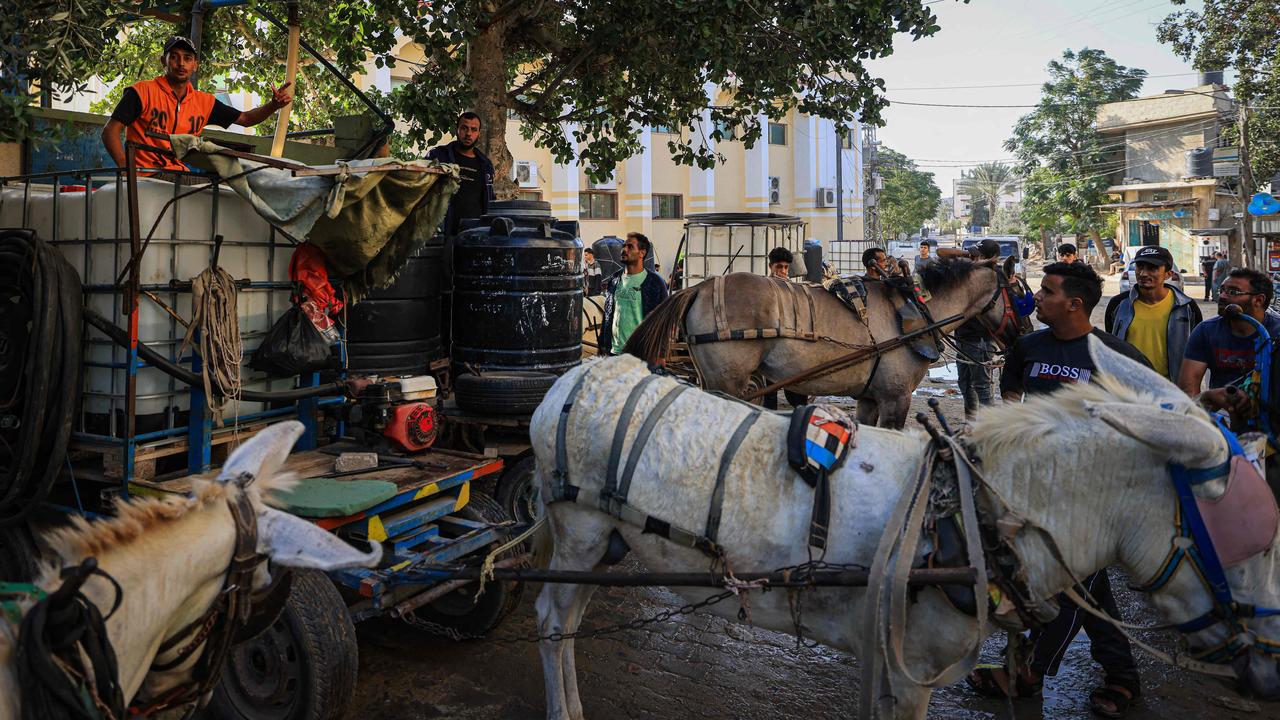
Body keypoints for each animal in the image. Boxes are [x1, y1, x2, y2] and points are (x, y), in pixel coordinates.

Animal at [624, 257, 1024, 425]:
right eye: (1018, 293)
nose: (1020, 336)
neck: (917, 307)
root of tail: (699, 287)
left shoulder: (869, 398)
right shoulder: (896, 398)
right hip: (728, 383)